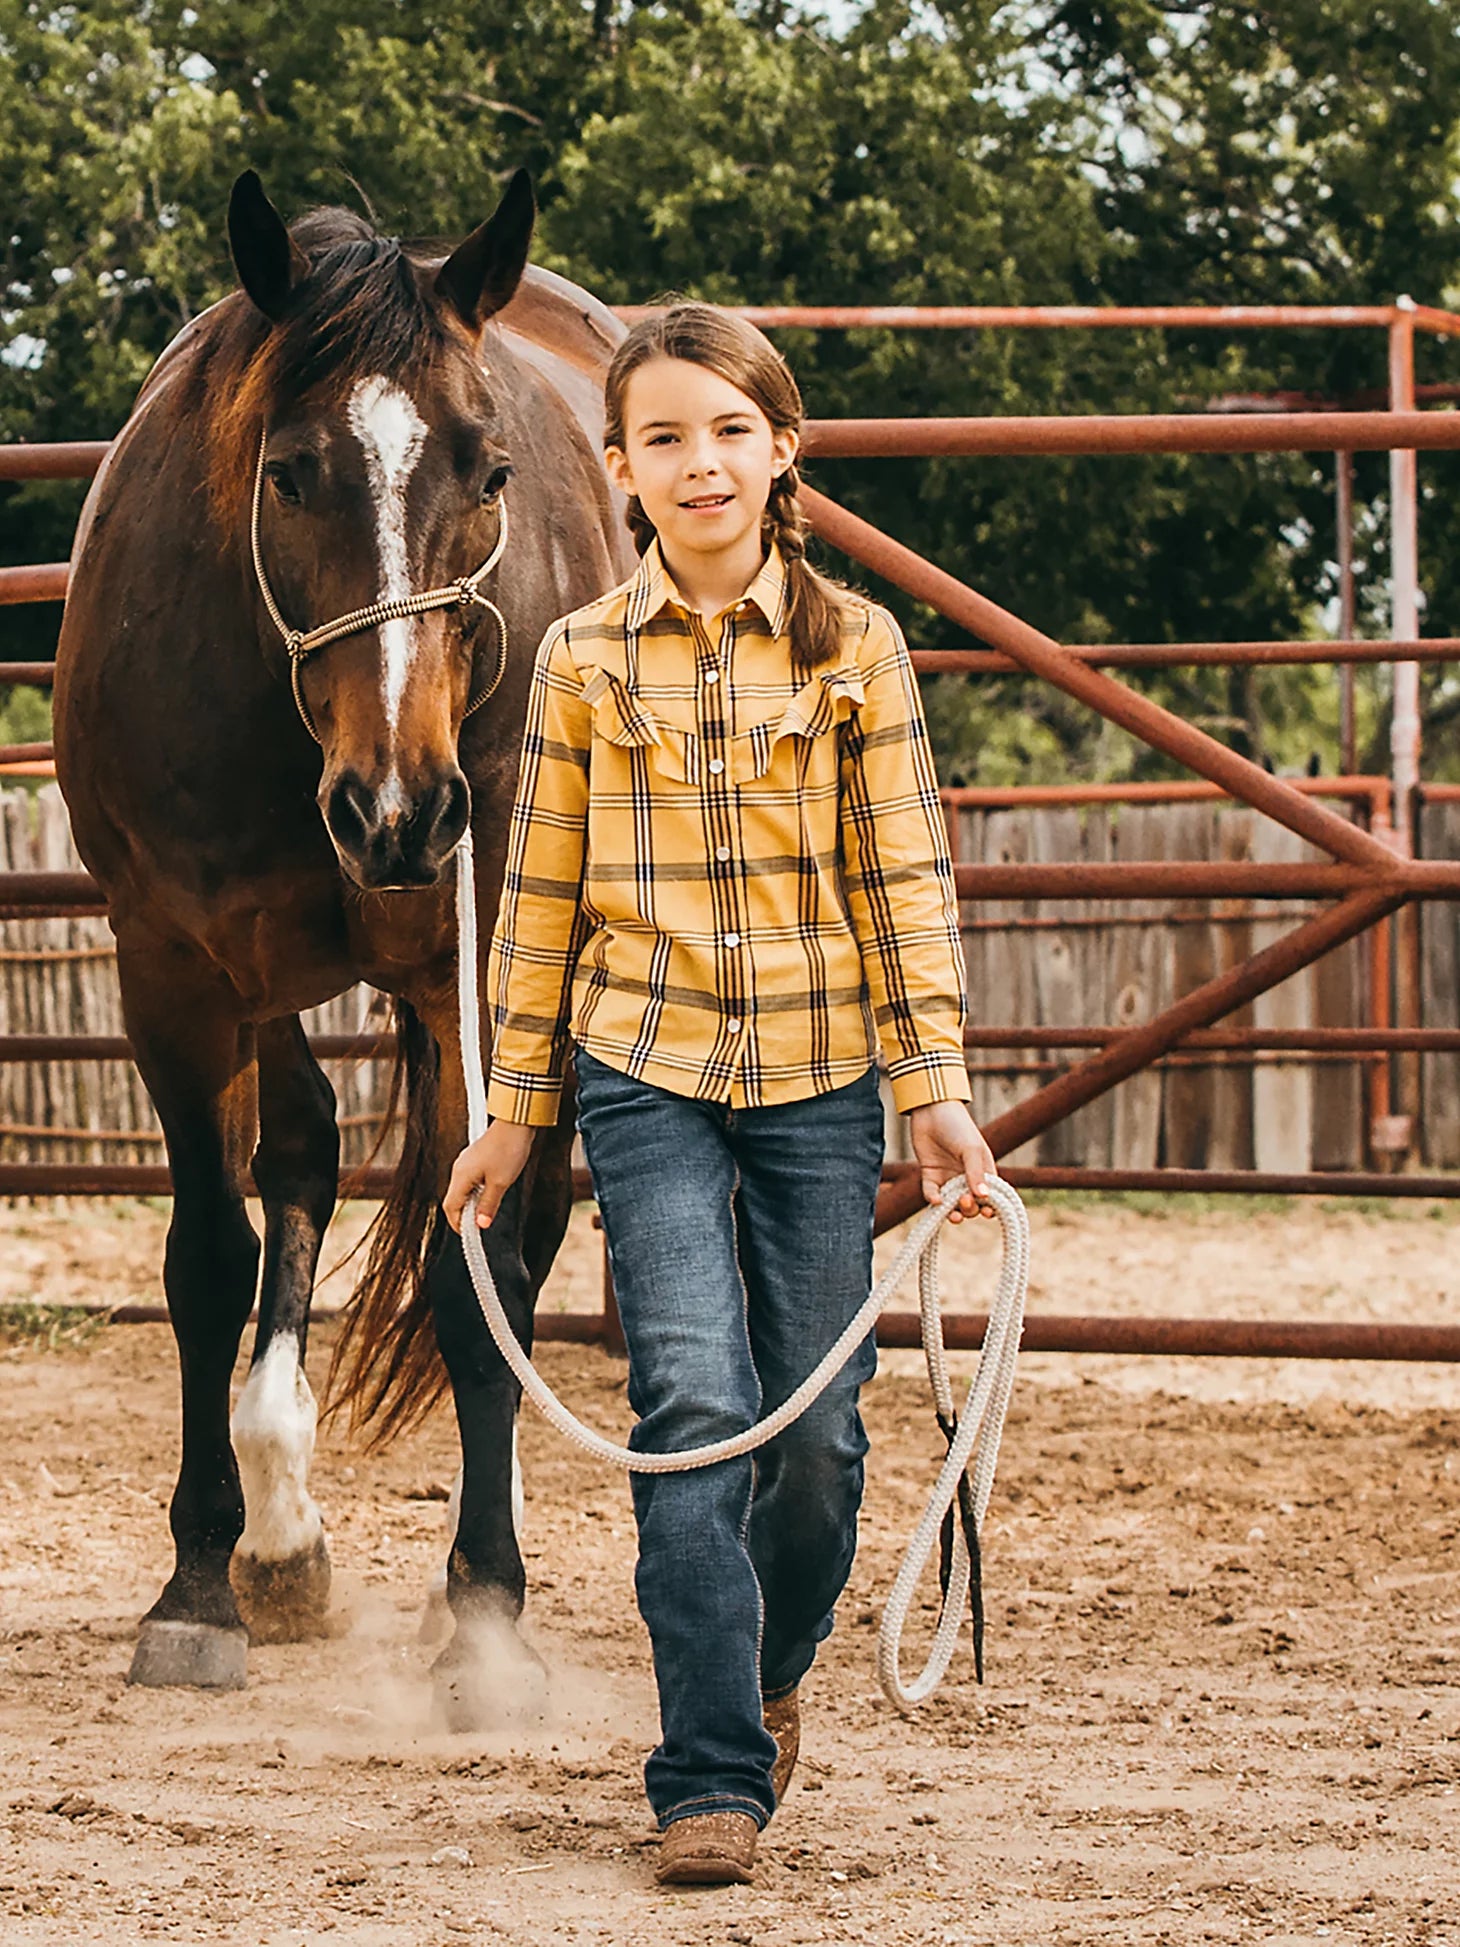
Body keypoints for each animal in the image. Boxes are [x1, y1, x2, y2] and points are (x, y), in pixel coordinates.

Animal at [53, 169, 632, 1715]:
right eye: (292, 471)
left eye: (488, 472)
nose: (402, 810)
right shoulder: (175, 975)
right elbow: (211, 1257)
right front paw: (200, 1583)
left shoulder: (485, 977)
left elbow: (482, 1274)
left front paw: (486, 1606)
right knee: (304, 1156)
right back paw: (280, 1535)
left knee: (503, 1241)